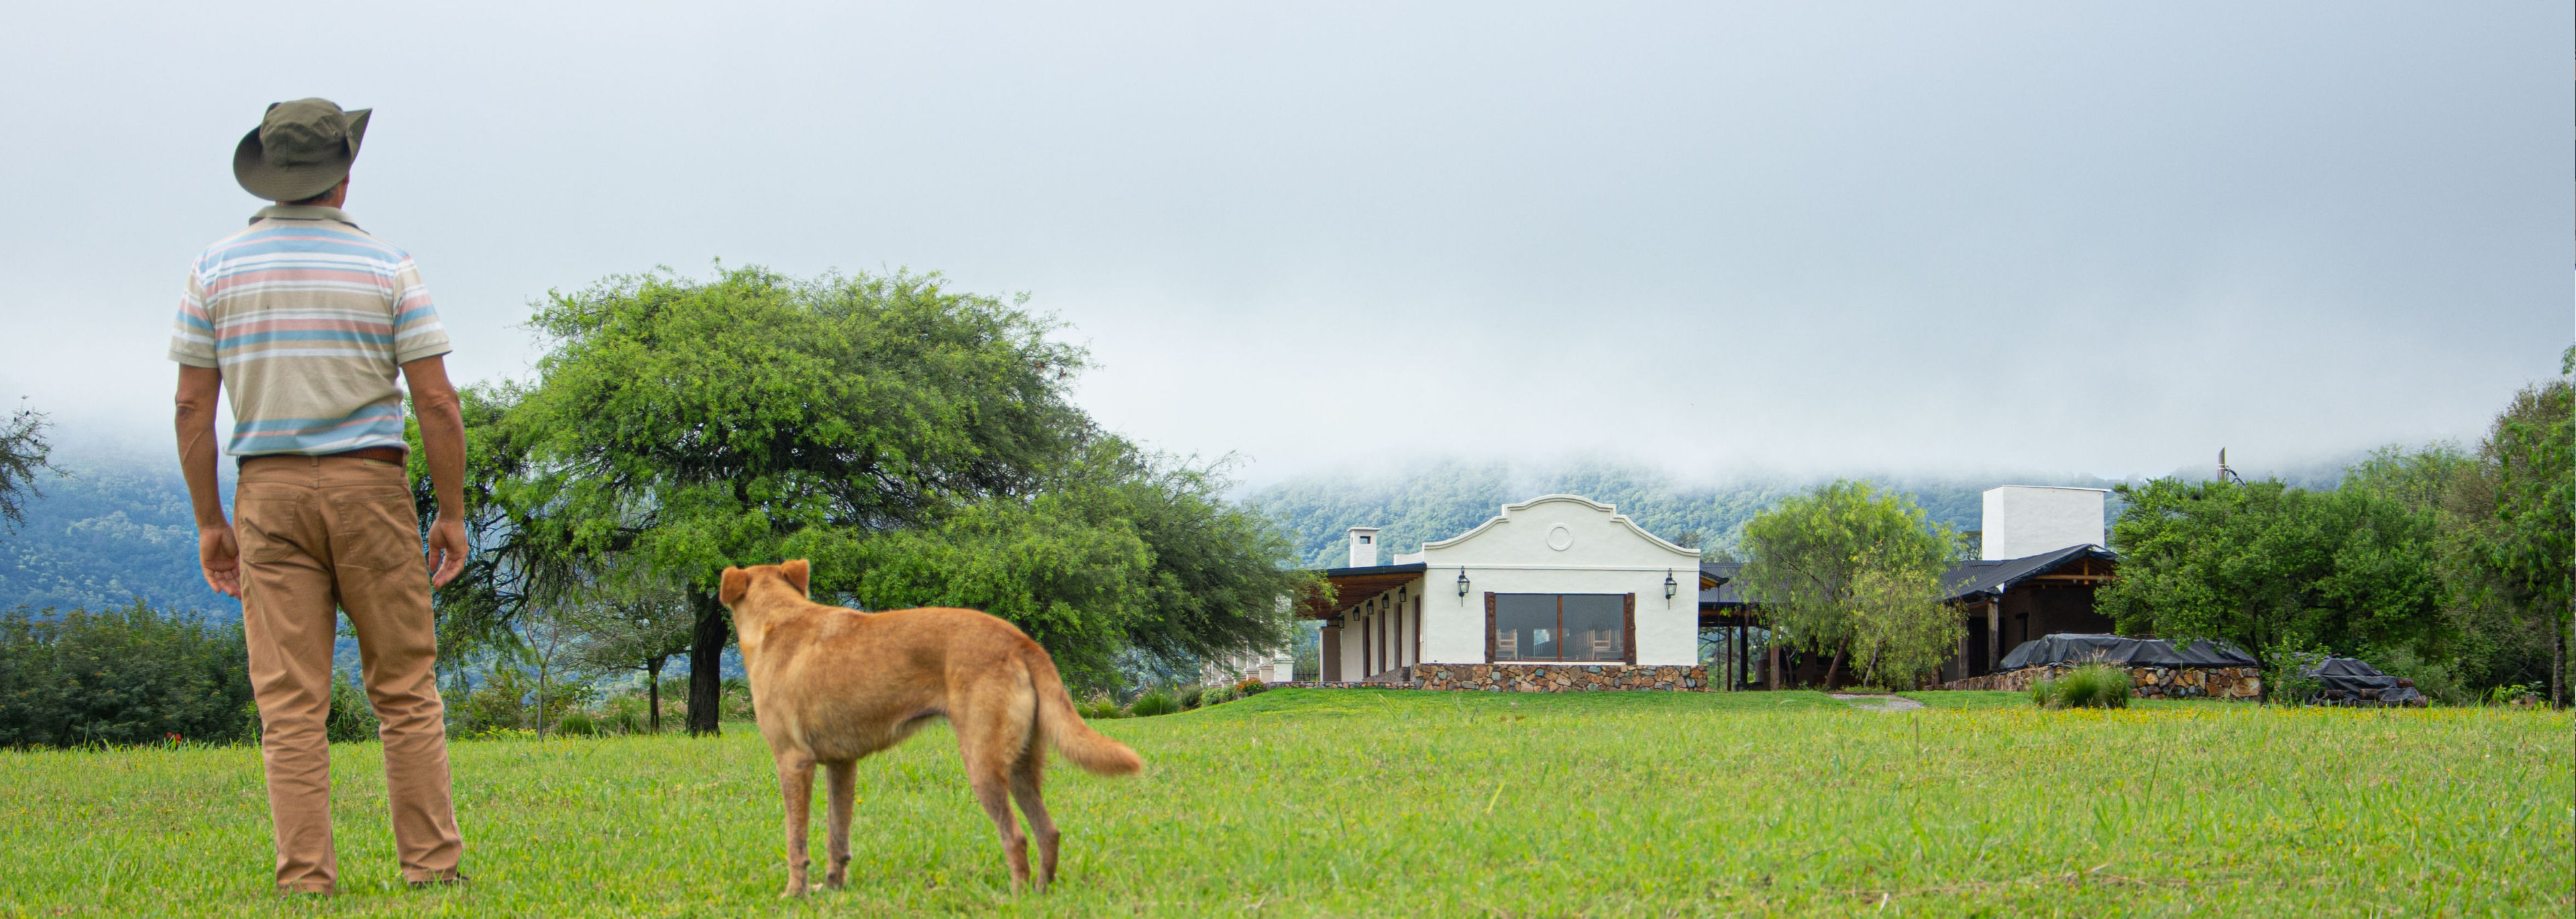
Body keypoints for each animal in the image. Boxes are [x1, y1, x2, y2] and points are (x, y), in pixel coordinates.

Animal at [719, 560, 1143, 897]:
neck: (776, 619)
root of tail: (1021, 641)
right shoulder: (841, 765)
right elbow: (837, 837)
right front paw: (834, 888)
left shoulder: (793, 761)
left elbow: (797, 841)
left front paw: (795, 894)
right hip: (1022, 764)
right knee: (1048, 833)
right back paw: (1041, 892)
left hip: (982, 763)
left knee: (1016, 837)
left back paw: (1016, 896)